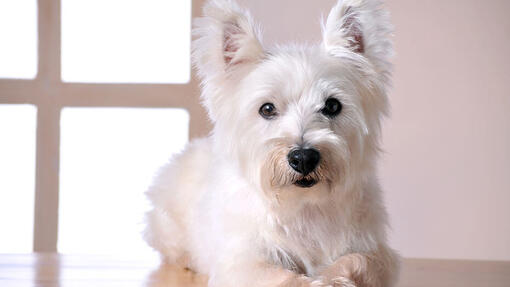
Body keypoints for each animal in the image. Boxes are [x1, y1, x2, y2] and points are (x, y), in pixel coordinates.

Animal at [143, 0, 398, 286]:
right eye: (267, 108)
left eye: (332, 105)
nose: (303, 158)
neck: (303, 206)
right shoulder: (241, 261)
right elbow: (280, 276)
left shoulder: (376, 252)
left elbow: (357, 261)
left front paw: (333, 277)